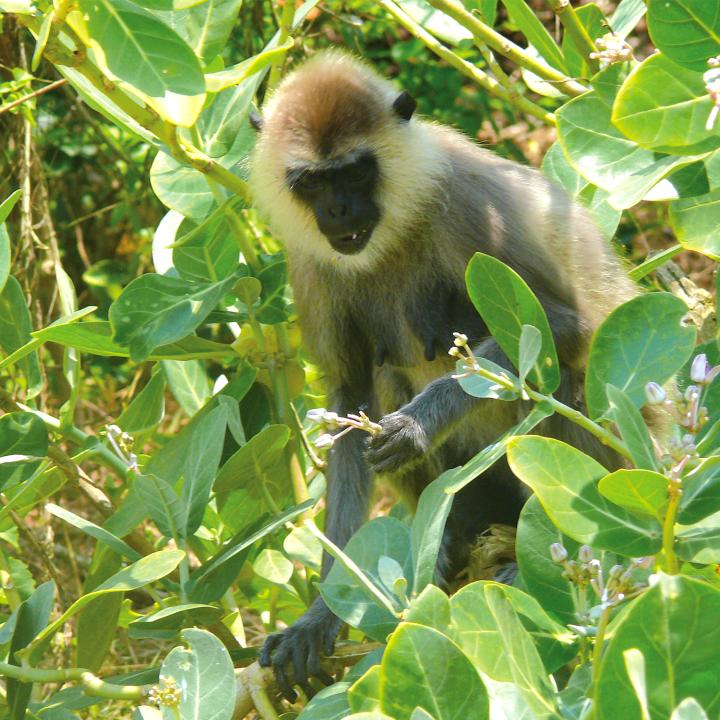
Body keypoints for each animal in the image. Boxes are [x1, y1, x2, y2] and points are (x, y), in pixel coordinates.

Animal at [249, 52, 636, 704]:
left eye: (356, 174)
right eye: (313, 184)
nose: (339, 212)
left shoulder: (468, 200)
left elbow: (566, 326)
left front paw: (415, 425)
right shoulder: (309, 258)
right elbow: (349, 396)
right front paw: (321, 617)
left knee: (560, 382)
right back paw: (454, 533)